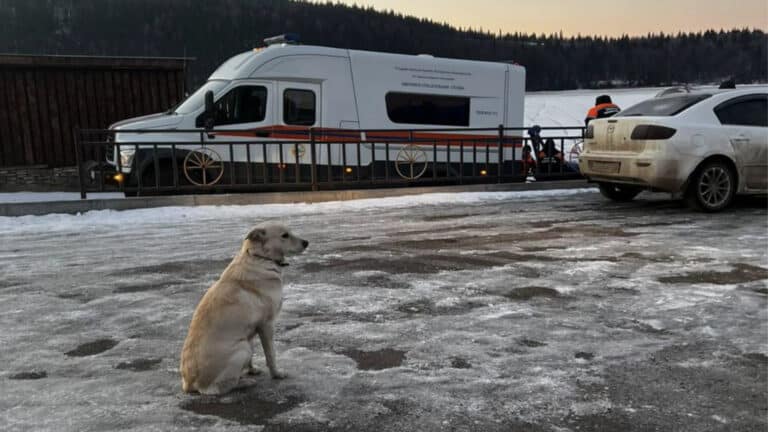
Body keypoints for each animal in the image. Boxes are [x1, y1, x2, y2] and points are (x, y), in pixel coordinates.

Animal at [182, 223, 308, 394]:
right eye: (285, 235)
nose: (306, 242)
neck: (260, 258)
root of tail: (189, 384)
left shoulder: (251, 329)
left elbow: (254, 356)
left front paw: (252, 369)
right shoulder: (267, 325)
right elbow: (271, 355)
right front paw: (276, 374)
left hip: (245, 344)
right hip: (242, 349)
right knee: (217, 388)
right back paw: (244, 383)